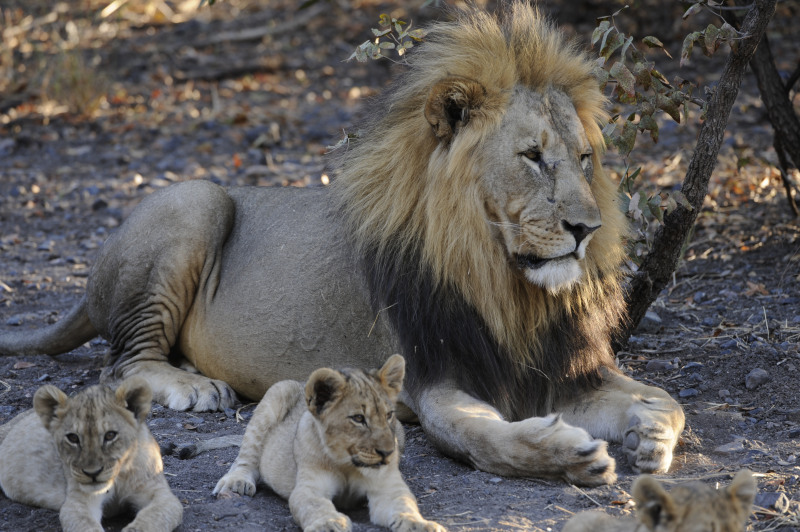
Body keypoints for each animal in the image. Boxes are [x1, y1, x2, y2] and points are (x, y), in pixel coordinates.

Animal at [3, 3, 684, 482]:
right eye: (534, 157)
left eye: (586, 158)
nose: (587, 229)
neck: (508, 285)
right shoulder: (434, 379)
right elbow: (485, 440)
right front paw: (567, 453)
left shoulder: (567, 367)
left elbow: (665, 399)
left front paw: (649, 435)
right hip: (194, 200)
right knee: (123, 361)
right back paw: (192, 386)